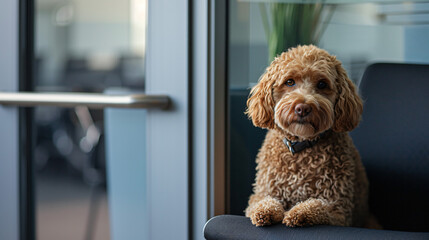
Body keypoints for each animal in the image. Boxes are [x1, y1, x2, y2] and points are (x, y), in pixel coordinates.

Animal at [246, 44, 376, 228]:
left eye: (322, 84)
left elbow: (316, 205)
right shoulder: (261, 193)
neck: (301, 147)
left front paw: (298, 213)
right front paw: (265, 211)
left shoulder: (339, 210)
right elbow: (262, 202)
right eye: (289, 82)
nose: (302, 108)